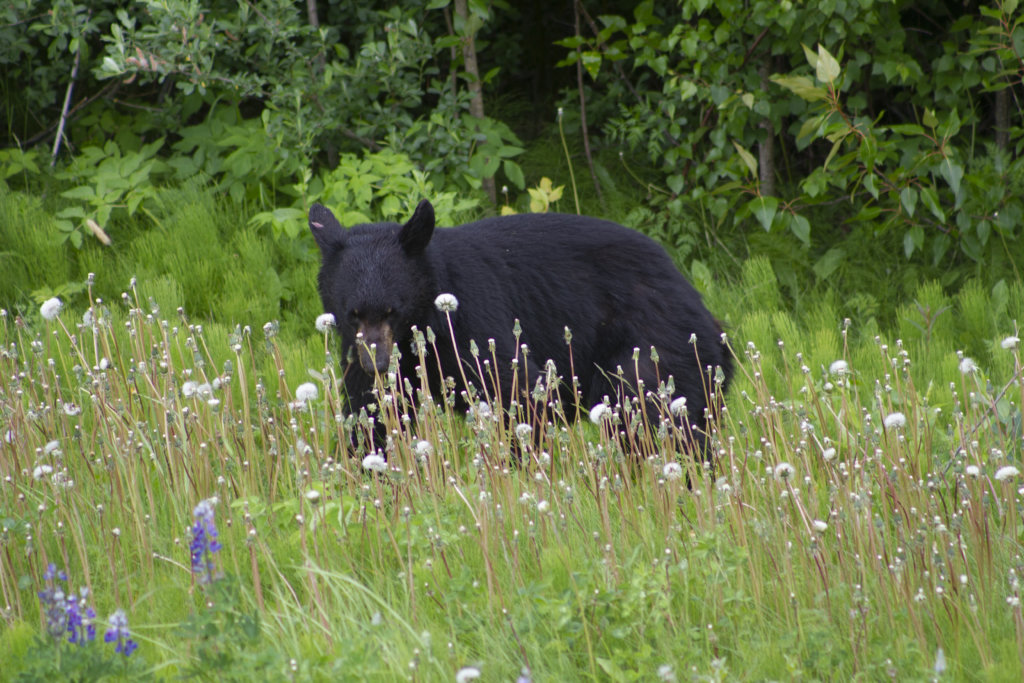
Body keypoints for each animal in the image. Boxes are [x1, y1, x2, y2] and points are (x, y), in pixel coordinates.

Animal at [309, 199, 732, 453]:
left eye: (391, 310)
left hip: (653, 343)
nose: (377, 363)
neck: (428, 314)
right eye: (353, 312)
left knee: (660, 415)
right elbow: (371, 414)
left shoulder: (474, 324)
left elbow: (519, 393)